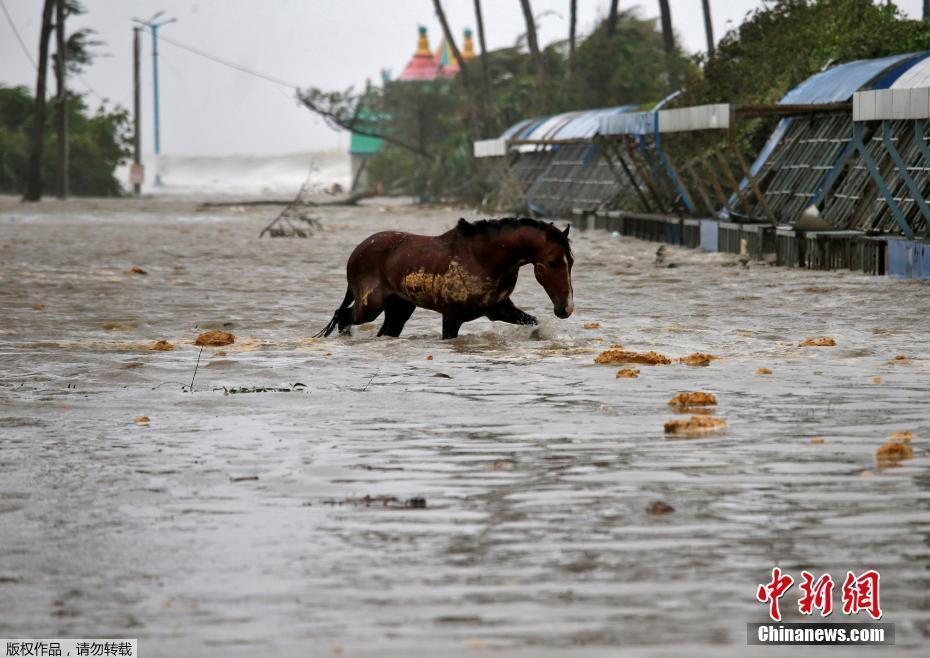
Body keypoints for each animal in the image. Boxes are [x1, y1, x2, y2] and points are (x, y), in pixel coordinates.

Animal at [316, 218, 568, 338]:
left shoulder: (499, 310)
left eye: (571, 262)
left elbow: (533, 322)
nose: (565, 308)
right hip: (369, 307)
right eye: (553, 262)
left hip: (398, 309)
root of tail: (356, 252)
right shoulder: (452, 317)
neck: (481, 258)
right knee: (343, 316)